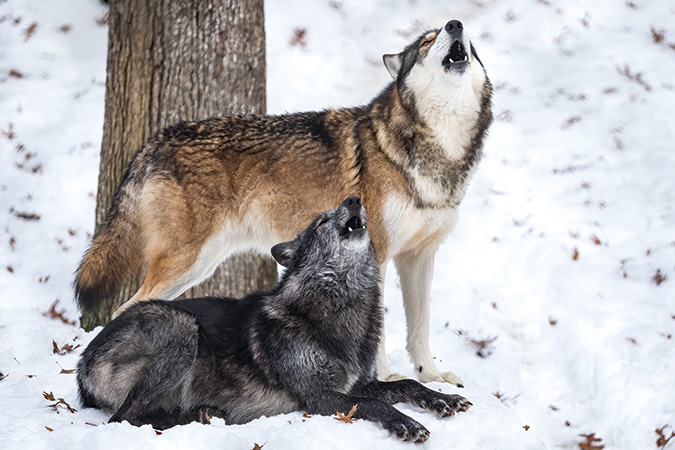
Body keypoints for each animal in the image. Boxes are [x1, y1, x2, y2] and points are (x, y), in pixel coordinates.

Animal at [75, 19, 493, 385]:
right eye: (427, 41)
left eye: (470, 46)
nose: (456, 24)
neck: (440, 147)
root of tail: (158, 138)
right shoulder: (377, 254)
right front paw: (385, 378)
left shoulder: (420, 257)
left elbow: (420, 329)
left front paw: (433, 377)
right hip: (185, 262)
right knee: (123, 308)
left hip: (200, 266)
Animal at [76, 197, 472, 443]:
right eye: (321, 221)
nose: (354, 199)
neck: (339, 306)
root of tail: (83, 361)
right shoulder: (318, 398)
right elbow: (376, 404)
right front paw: (407, 423)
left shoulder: (356, 384)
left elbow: (406, 384)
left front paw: (442, 400)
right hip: (181, 324)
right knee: (123, 417)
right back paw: (198, 415)